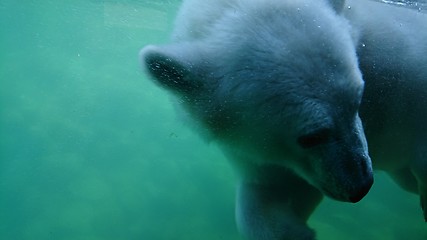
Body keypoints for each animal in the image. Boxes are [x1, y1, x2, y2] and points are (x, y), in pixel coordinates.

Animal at [140, 0, 427, 239]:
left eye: (357, 101)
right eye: (310, 137)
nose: (361, 186)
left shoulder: (400, 69)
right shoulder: (256, 152)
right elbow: (270, 192)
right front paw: (297, 231)